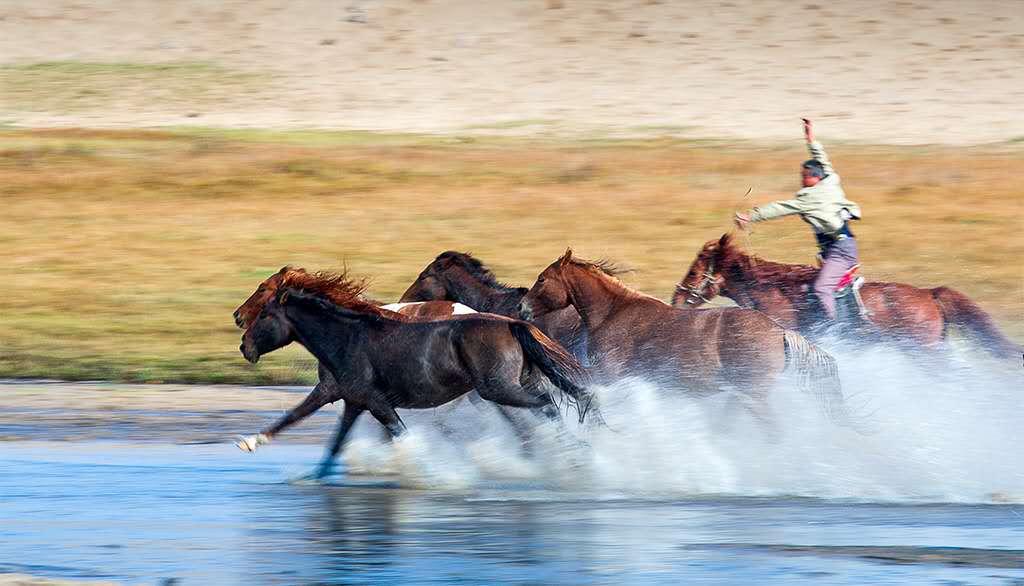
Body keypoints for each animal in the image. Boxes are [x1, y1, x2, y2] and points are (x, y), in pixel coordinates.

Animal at [235, 270, 598, 481]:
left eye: (265, 310)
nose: (243, 344)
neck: (347, 336)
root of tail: (512, 324)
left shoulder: (375, 402)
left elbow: (401, 435)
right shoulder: (344, 397)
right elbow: (309, 427)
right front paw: (252, 443)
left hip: (499, 390)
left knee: (546, 404)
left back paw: (574, 454)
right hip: (511, 386)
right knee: (550, 407)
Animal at [520, 249, 847, 428]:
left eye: (542, 279)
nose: (522, 307)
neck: (613, 313)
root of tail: (779, 331)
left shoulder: (606, 375)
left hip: (753, 395)